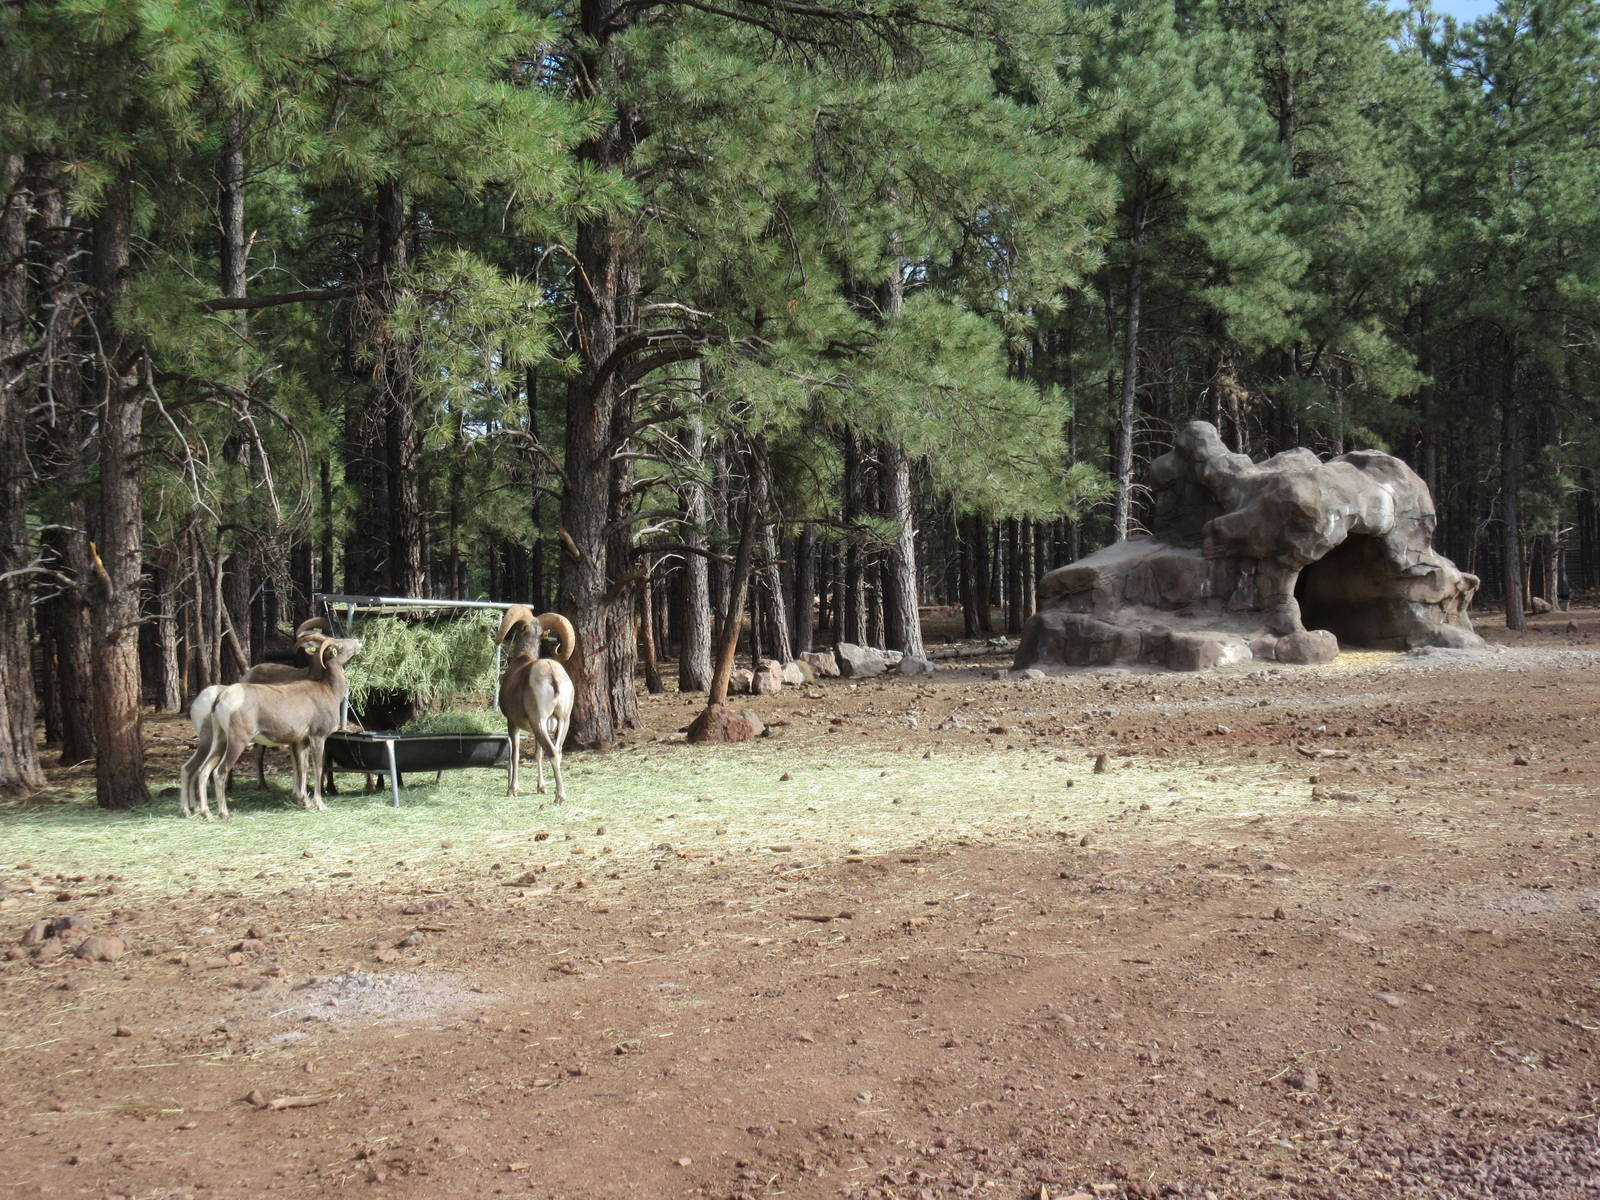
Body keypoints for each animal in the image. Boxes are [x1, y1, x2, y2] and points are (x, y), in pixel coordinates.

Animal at [177, 620, 357, 815]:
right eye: (338, 645)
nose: (357, 641)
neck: (329, 690)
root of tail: (220, 697)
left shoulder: (301, 741)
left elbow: (302, 768)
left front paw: (304, 802)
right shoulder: (317, 737)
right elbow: (316, 768)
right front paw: (319, 804)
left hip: (218, 741)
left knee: (196, 770)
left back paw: (198, 812)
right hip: (234, 742)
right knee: (218, 772)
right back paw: (223, 813)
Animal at [496, 606, 576, 801]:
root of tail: (552, 674)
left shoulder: (513, 723)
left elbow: (515, 754)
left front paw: (512, 790)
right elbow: (538, 754)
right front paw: (541, 788)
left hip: (538, 720)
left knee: (552, 752)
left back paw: (560, 796)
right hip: (562, 720)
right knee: (557, 751)